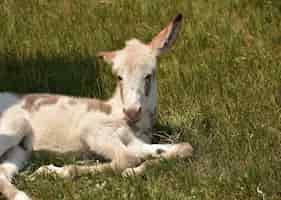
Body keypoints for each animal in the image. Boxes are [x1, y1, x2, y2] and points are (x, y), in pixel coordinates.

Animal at [0, 13, 191, 199]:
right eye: (119, 77)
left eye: (148, 75)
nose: (132, 112)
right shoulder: (93, 130)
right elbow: (126, 158)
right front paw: (53, 171)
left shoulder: (135, 142)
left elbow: (184, 148)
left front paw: (134, 171)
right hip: (14, 127)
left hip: (20, 150)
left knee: (2, 172)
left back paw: (22, 195)